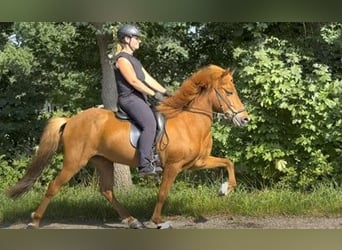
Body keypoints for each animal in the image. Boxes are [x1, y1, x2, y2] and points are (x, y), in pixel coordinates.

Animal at [5, 64, 248, 229]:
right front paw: (157, 221)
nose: (244, 119)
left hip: (102, 161)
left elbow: (228, 162)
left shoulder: (197, 162)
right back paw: (35, 221)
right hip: (74, 162)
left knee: (107, 191)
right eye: (228, 92)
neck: (189, 121)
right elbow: (163, 193)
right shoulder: (173, 166)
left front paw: (225, 189)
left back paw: (131, 220)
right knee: (54, 186)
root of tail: (71, 120)